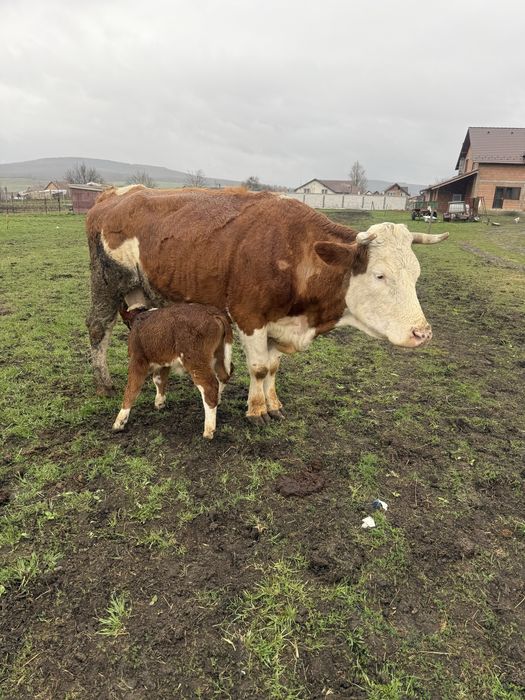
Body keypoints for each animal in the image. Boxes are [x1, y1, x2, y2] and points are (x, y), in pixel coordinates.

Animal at [86, 186, 448, 423]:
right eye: (379, 275)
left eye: (416, 274)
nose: (422, 333)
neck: (295, 250)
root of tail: (115, 194)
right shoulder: (249, 317)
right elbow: (259, 368)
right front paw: (257, 410)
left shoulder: (278, 321)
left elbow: (272, 367)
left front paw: (273, 404)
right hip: (107, 285)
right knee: (98, 329)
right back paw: (103, 384)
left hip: (139, 293)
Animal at [114, 303, 233, 439]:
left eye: (125, 322)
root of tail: (214, 313)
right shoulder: (163, 361)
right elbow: (159, 379)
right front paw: (159, 402)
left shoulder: (137, 359)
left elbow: (132, 388)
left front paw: (120, 421)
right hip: (218, 356)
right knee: (224, 376)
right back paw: (218, 400)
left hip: (196, 361)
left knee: (209, 386)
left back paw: (208, 430)